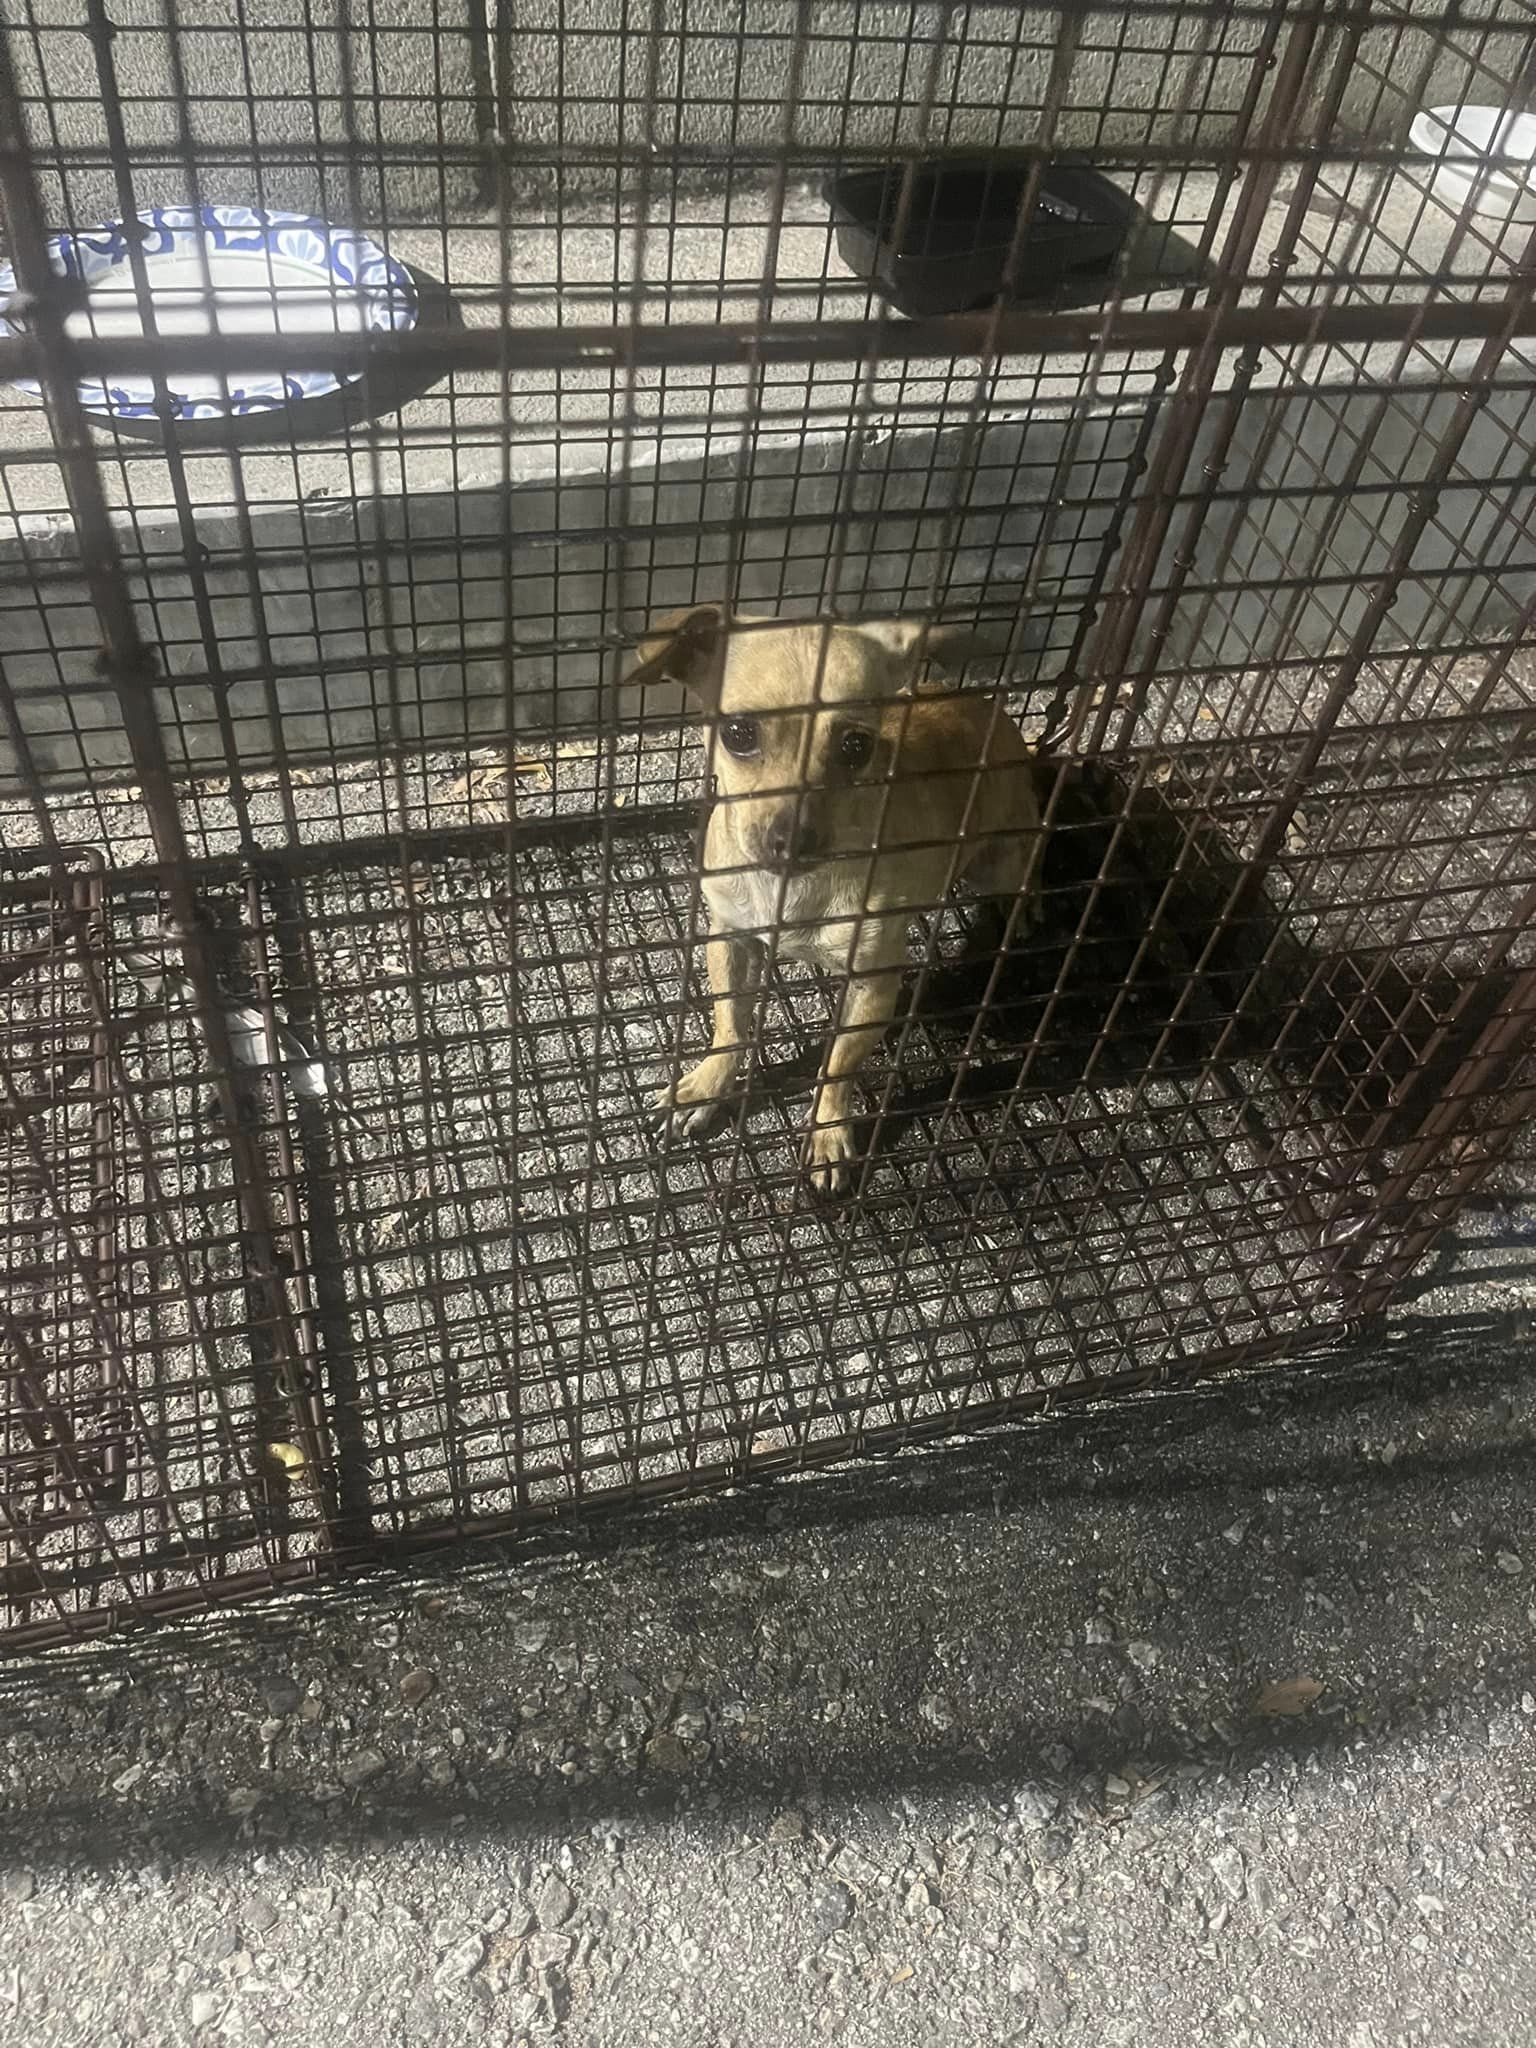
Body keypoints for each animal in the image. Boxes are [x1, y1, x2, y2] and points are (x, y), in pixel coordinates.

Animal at [626, 598, 1048, 1196]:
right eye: (738, 733)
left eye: (855, 746)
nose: (792, 837)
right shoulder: (729, 937)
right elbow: (730, 1023)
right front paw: (707, 1086)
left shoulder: (874, 985)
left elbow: (838, 1064)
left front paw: (828, 1132)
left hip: (1002, 859)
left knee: (1026, 867)